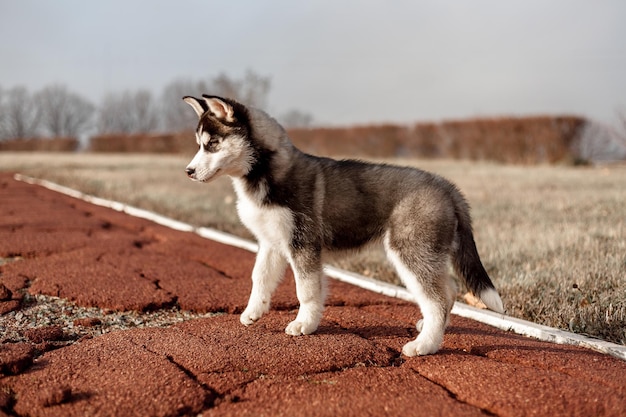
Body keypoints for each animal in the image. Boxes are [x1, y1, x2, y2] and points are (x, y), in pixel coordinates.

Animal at [182, 94, 502, 354]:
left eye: (212, 144)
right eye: (199, 145)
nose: (188, 171)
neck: (261, 176)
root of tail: (447, 186)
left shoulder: (303, 244)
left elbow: (306, 290)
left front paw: (304, 324)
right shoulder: (270, 242)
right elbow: (259, 278)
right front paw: (253, 312)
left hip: (410, 251)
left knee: (436, 298)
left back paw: (425, 345)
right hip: (424, 253)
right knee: (447, 290)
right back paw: (430, 328)